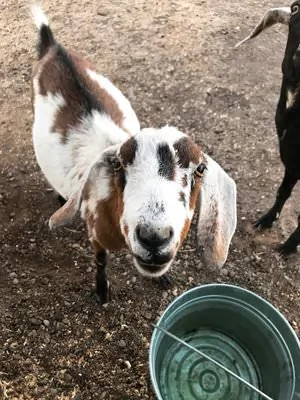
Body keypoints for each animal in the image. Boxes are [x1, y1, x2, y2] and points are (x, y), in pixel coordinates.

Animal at [30, 4, 237, 304]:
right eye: (118, 164)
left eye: (200, 169)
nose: (154, 236)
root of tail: (53, 46)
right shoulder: (95, 232)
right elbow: (100, 260)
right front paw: (102, 291)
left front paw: (163, 278)